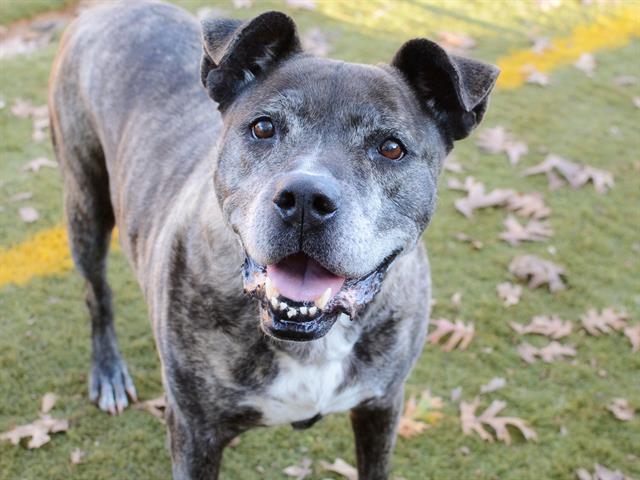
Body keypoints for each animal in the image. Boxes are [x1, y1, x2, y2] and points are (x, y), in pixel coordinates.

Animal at [50, 1, 500, 478]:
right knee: (97, 292)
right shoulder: (194, 431)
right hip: (85, 203)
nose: (304, 198)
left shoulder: (381, 407)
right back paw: (108, 372)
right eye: (264, 127)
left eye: (391, 148)